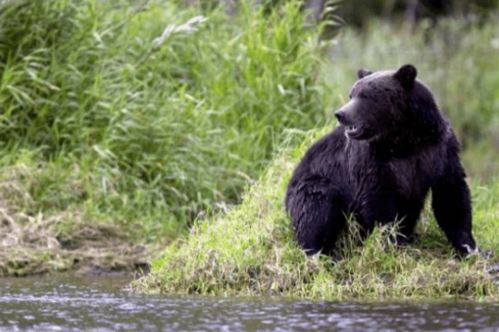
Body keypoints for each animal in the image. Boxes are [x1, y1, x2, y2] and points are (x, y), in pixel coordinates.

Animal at [286, 64, 476, 256]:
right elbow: (378, 202)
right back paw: (321, 252)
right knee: (317, 207)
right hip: (313, 183)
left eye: (364, 96)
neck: (404, 140)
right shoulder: (373, 160)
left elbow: (451, 194)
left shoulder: (439, 150)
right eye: (351, 94)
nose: (340, 113)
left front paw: (468, 246)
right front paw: (393, 242)